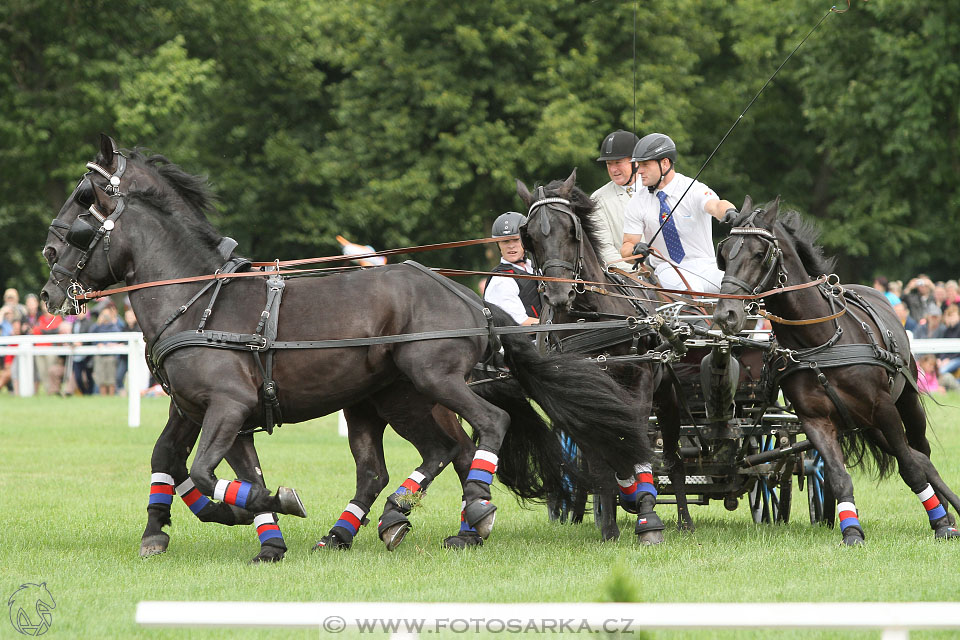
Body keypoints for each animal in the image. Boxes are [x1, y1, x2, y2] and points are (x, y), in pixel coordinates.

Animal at [39, 136, 652, 560]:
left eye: (82, 201)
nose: (47, 282)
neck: (199, 298)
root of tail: (463, 293)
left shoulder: (227, 407)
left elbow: (204, 472)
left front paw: (271, 508)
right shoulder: (206, 411)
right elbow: (183, 465)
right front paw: (239, 533)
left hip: (431, 379)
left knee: (487, 426)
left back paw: (470, 510)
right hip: (388, 399)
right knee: (418, 458)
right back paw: (383, 523)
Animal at [512, 170, 692, 540]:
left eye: (572, 231)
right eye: (530, 237)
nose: (558, 295)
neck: (591, 319)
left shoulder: (638, 386)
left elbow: (637, 446)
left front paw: (647, 516)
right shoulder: (581, 398)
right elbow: (600, 459)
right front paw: (610, 523)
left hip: (667, 395)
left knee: (673, 457)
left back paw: (684, 521)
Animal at [716, 196, 960, 544]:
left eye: (760, 253)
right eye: (723, 254)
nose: (726, 314)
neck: (820, 343)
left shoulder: (883, 407)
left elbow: (911, 468)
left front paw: (940, 524)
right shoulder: (816, 420)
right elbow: (837, 474)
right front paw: (852, 531)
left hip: (905, 403)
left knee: (921, 455)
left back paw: (947, 512)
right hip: (866, 422)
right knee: (917, 457)